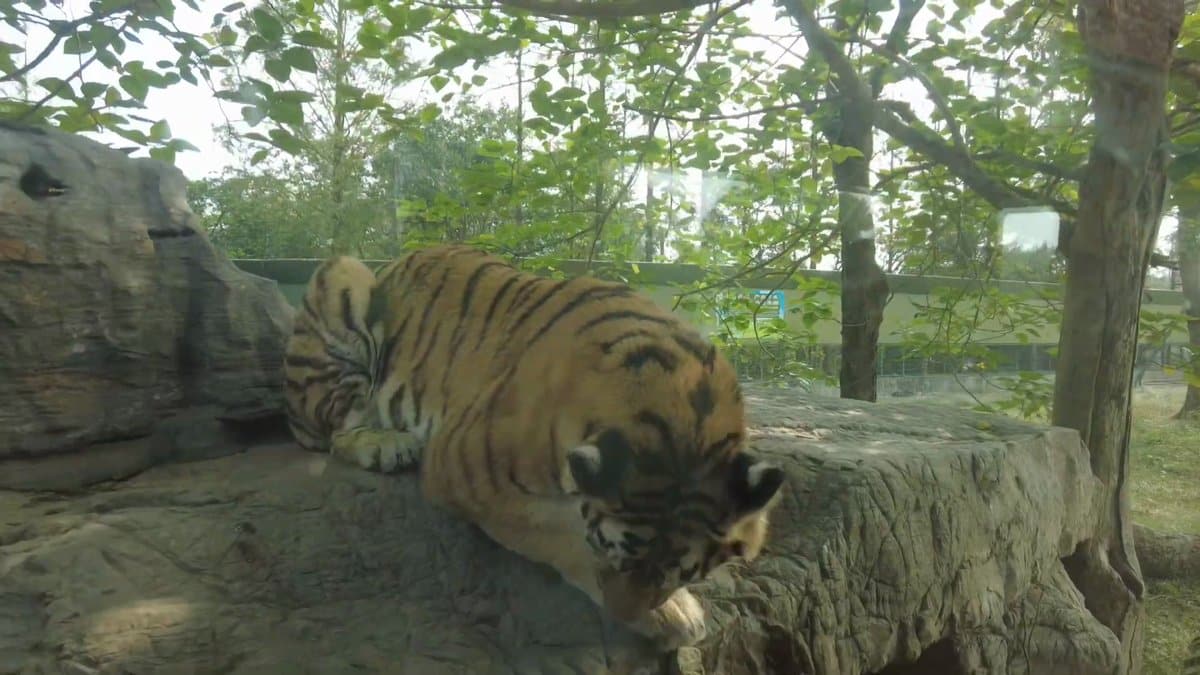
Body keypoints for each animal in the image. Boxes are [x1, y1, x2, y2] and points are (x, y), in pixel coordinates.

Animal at [283, 243, 786, 650]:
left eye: (684, 572)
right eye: (615, 555)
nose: (623, 615)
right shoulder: (467, 470)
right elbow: (559, 532)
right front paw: (674, 617)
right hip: (344, 280)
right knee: (335, 431)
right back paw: (386, 443)